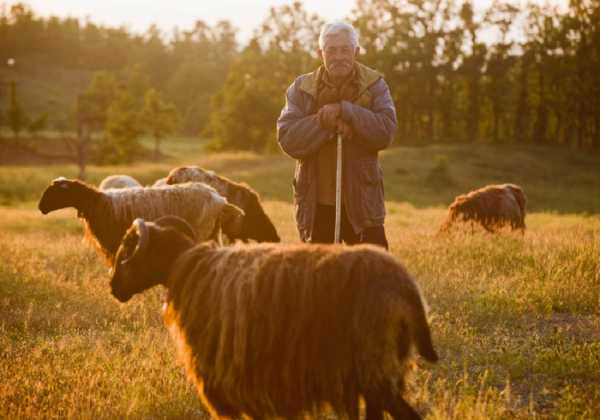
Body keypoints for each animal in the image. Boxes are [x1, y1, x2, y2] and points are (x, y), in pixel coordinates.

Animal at [37, 178, 243, 266]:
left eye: (54, 192)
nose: (41, 207)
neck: (98, 203)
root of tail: (219, 200)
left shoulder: (115, 243)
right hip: (212, 233)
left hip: (201, 231)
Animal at [110, 217, 438, 420]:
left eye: (127, 248)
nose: (113, 286)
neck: (188, 266)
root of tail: (407, 287)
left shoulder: (226, 382)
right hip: (377, 374)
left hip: (374, 371)